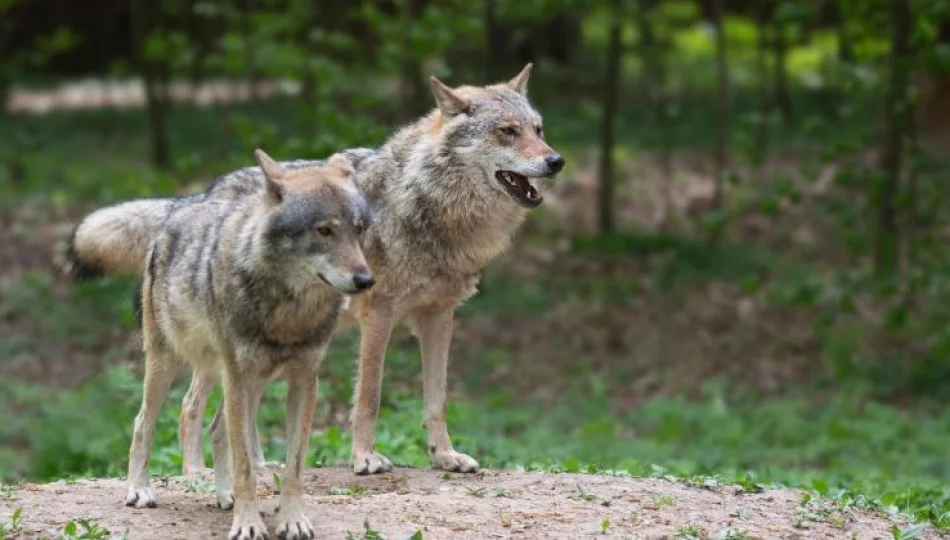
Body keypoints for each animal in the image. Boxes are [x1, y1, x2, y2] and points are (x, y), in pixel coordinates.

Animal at [124, 149, 378, 540]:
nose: (366, 280)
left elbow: (293, 465)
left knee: (215, 430)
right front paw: (248, 524)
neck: (289, 312)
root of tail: (184, 203)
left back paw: (223, 495)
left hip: (250, 381)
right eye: (324, 230)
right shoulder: (237, 378)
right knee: (143, 422)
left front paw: (291, 520)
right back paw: (139, 490)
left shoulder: (305, 380)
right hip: (172, 364)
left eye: (359, 229)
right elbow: (245, 463)